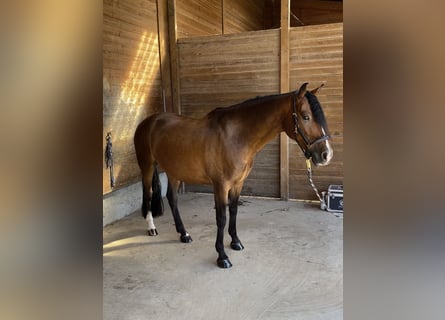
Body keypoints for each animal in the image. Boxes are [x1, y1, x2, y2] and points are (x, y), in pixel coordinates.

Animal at [134, 82, 332, 268]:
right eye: (306, 116)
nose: (326, 155)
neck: (236, 137)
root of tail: (148, 122)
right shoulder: (221, 186)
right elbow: (221, 218)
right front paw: (222, 256)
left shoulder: (238, 183)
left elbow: (234, 211)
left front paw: (236, 242)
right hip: (147, 167)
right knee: (148, 194)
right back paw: (152, 228)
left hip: (174, 171)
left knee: (172, 198)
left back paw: (184, 234)